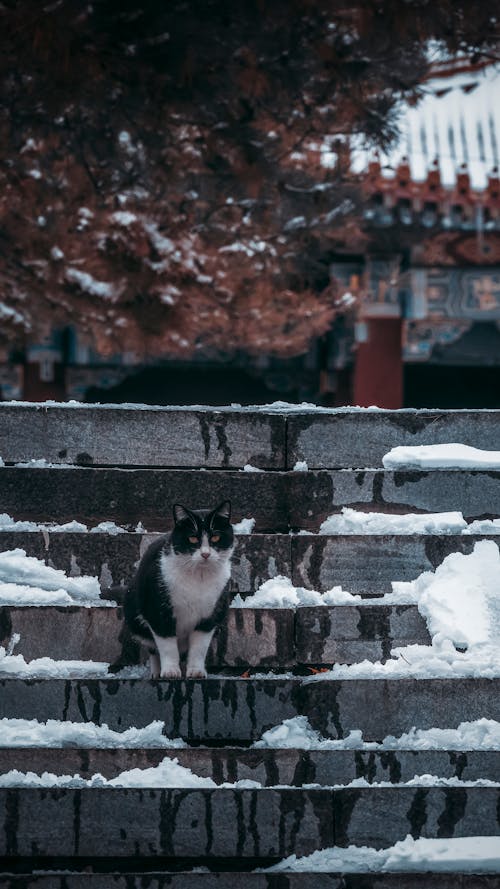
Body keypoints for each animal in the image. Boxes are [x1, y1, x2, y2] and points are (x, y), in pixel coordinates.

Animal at [124, 500, 235, 680]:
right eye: (192, 538)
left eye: (216, 537)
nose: (205, 554)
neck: (198, 578)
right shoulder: (158, 610)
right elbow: (167, 645)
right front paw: (170, 672)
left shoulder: (210, 614)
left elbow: (199, 647)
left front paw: (196, 671)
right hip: (134, 613)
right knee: (153, 648)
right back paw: (157, 672)